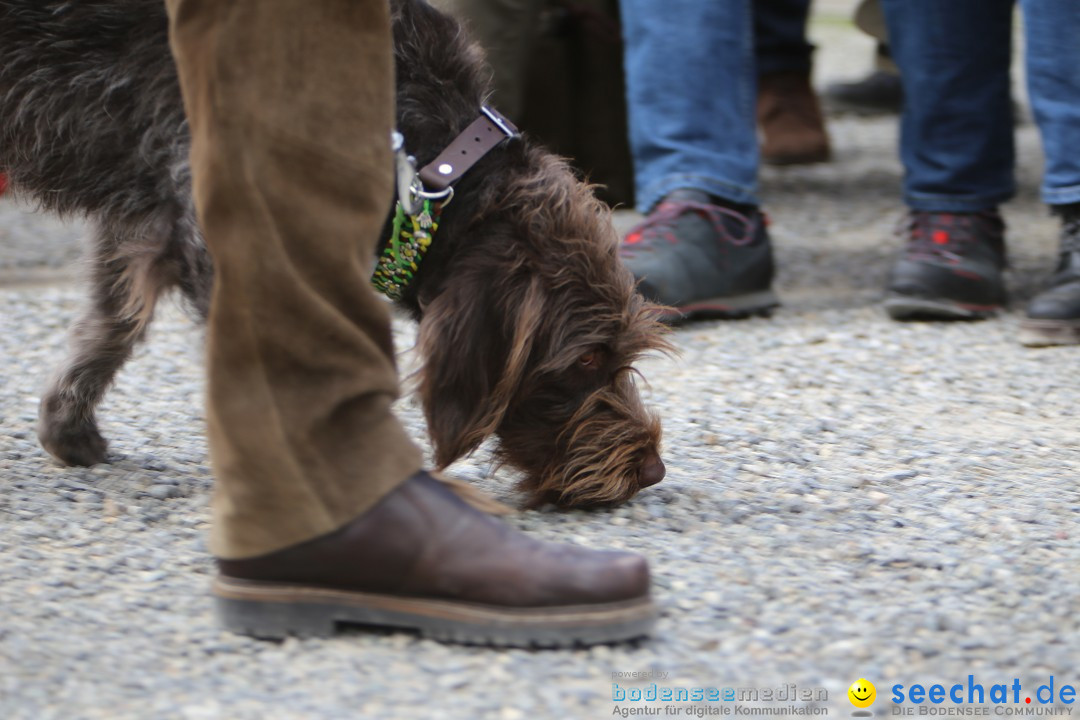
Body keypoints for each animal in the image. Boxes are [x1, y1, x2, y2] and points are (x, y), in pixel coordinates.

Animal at [0, 0, 669, 507]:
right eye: (586, 360)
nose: (651, 471)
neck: (426, 157)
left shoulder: (147, 218)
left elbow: (110, 324)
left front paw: (66, 424)